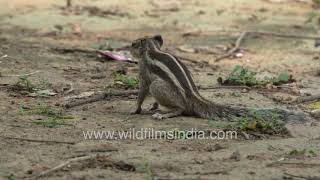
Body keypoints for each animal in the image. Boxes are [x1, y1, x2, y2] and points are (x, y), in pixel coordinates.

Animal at [130, 34, 310, 121]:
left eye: (133, 44)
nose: (128, 48)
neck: (152, 49)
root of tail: (193, 97)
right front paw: (151, 105)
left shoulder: (144, 74)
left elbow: (142, 91)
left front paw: (135, 109)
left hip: (158, 87)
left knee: (180, 109)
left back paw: (164, 113)